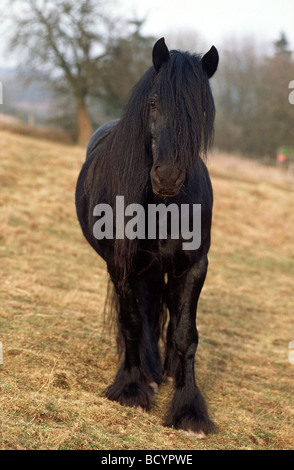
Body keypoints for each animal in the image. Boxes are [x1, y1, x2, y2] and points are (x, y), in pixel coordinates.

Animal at [75, 37, 218, 436]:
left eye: (202, 108)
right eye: (154, 102)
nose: (167, 176)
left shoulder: (193, 266)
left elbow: (185, 334)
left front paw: (189, 410)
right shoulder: (121, 266)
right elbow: (132, 322)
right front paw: (131, 389)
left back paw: (165, 372)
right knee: (143, 312)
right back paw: (150, 374)